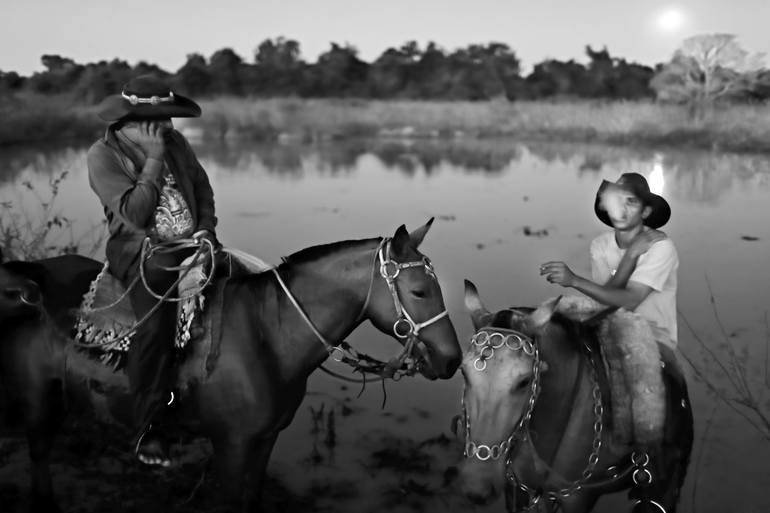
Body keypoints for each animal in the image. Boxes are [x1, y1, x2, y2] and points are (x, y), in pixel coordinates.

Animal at [0, 221, 462, 512]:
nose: (452, 359)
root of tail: (32, 280)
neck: (268, 336)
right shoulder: (231, 445)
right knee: (39, 461)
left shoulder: (265, 440)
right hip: (36, 399)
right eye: (419, 291)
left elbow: (251, 499)